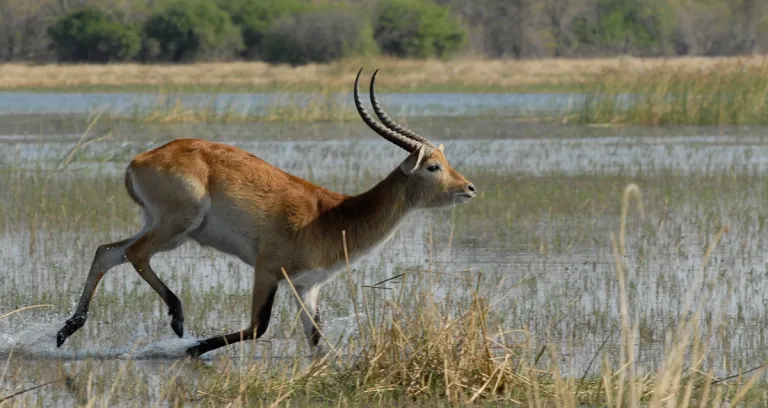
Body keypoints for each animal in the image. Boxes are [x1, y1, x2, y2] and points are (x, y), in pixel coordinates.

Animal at [54, 69, 476, 356]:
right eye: (432, 166)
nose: (469, 188)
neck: (335, 216)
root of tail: (140, 159)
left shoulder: (308, 286)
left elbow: (316, 339)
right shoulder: (268, 269)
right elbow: (259, 326)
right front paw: (194, 348)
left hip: (160, 225)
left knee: (108, 251)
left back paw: (66, 330)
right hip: (178, 226)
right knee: (133, 253)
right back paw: (177, 320)